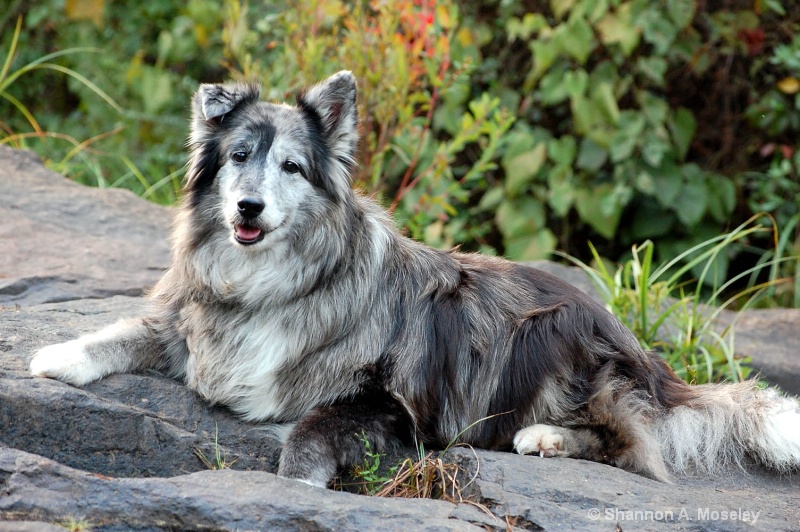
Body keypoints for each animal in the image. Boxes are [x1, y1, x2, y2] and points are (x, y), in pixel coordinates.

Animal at [28, 70, 796, 486]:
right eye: (240, 156)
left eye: (291, 168)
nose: (248, 207)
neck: (273, 280)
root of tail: (652, 362)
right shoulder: (193, 319)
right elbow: (129, 328)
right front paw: (60, 355)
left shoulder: (391, 403)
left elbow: (307, 437)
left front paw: (299, 488)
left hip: (551, 337)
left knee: (630, 445)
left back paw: (548, 438)